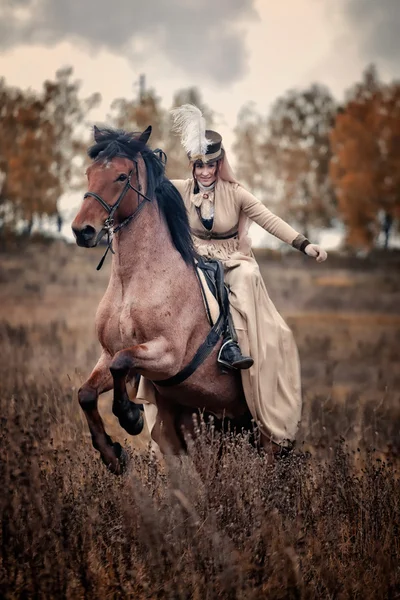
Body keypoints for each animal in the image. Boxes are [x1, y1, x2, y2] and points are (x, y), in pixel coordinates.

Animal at [70, 126, 248, 474]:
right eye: (89, 173)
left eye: (121, 176)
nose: (82, 231)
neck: (133, 281)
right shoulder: (107, 352)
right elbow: (87, 393)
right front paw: (112, 454)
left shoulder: (167, 355)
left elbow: (122, 363)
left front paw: (130, 416)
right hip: (202, 426)